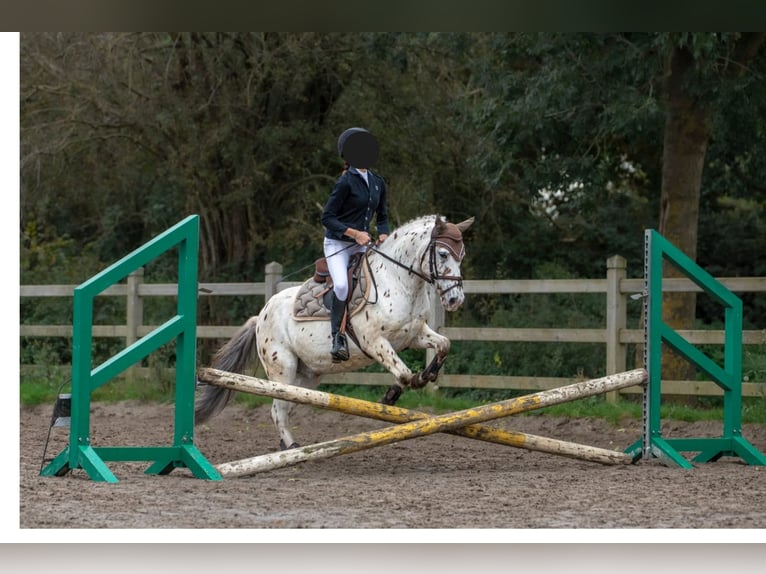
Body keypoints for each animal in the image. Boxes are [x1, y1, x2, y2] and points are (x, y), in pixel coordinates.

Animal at [194, 214, 474, 452]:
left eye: (462, 255)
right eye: (442, 253)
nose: (455, 300)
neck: (398, 280)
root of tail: (261, 314)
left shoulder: (413, 334)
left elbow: (444, 344)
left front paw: (427, 375)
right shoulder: (374, 341)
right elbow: (404, 373)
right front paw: (392, 395)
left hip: (306, 376)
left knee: (287, 406)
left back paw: (288, 446)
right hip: (282, 368)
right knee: (277, 410)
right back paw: (293, 448)